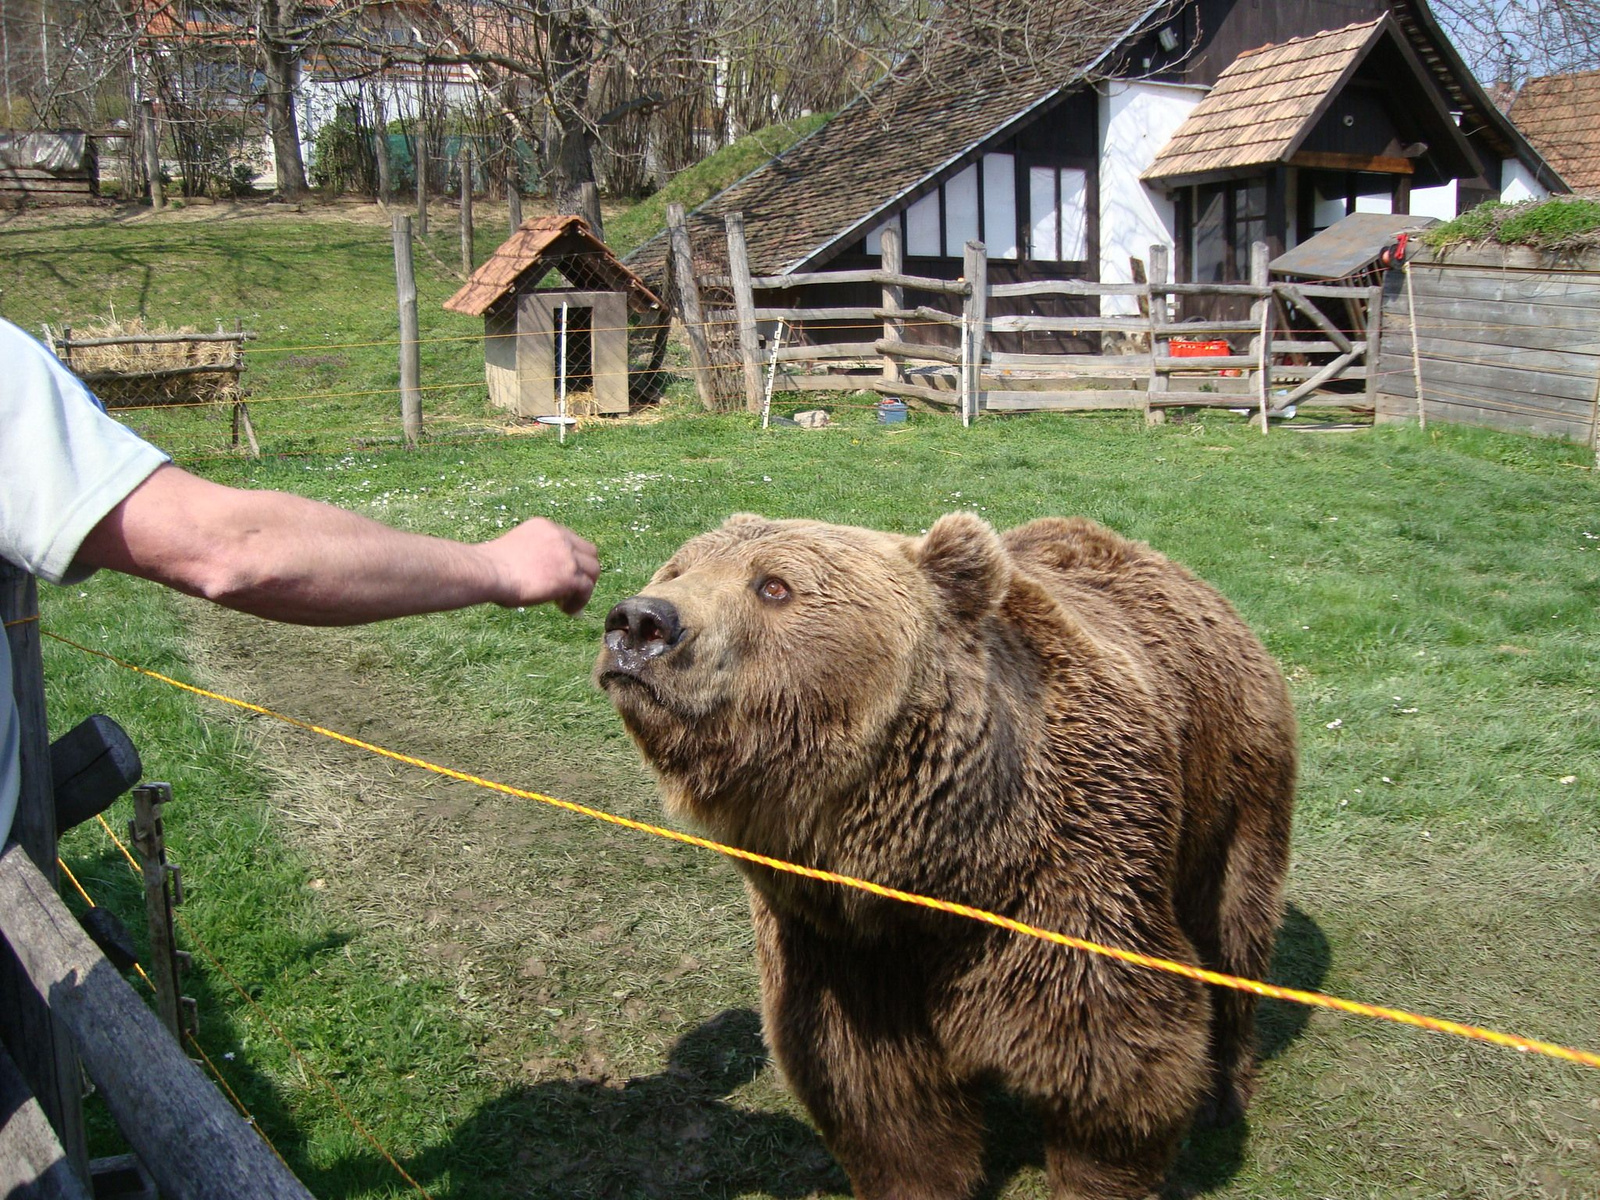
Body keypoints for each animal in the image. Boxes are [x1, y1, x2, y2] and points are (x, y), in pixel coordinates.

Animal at [595, 512, 1292, 1196]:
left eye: (773, 586)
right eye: (678, 567)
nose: (640, 622)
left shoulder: (1072, 879)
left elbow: (1114, 1065)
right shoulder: (841, 947)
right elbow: (879, 1093)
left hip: (1234, 781)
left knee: (1233, 927)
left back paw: (1224, 1089)